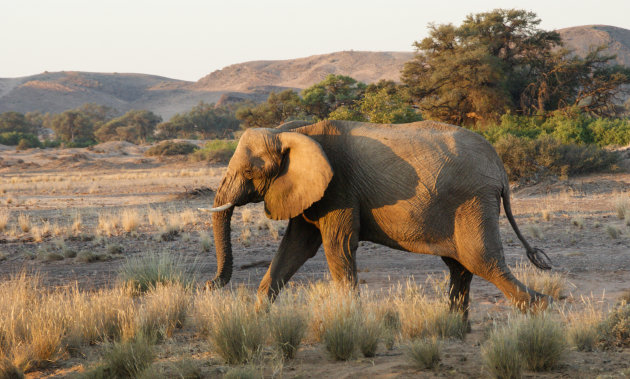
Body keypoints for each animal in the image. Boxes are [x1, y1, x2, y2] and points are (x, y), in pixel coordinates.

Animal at [202, 119, 552, 320]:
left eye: (250, 172)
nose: (208, 285)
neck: (289, 131)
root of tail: (501, 170)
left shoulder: (338, 187)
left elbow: (337, 246)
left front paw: (350, 322)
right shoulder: (311, 190)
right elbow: (296, 247)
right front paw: (255, 319)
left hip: (473, 200)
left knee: (481, 260)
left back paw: (541, 308)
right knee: (461, 265)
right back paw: (454, 329)